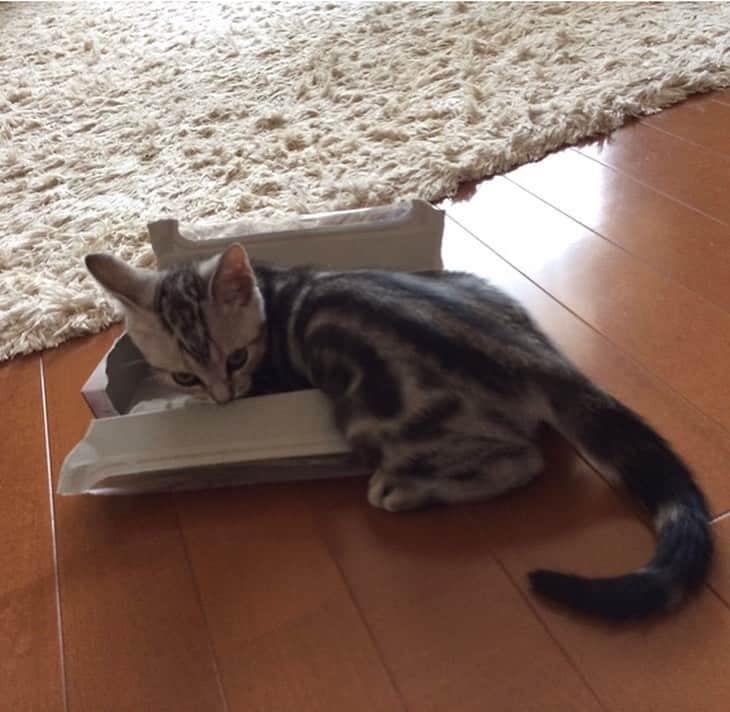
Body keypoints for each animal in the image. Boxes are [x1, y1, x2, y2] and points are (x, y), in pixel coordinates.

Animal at [85, 242, 712, 620]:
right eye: (185, 374)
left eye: (237, 359)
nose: (221, 398)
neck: (271, 286)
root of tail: (529, 354)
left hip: (373, 417)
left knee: (521, 460)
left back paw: (403, 490)